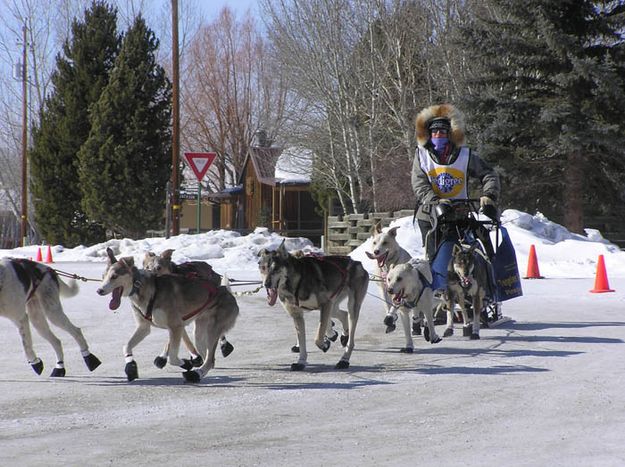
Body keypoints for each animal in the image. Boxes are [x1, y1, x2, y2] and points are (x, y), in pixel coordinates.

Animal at [97, 249, 239, 384]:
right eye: (103, 276)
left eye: (114, 276)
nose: (99, 290)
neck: (147, 289)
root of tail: (226, 291)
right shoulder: (144, 327)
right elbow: (126, 346)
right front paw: (131, 366)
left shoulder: (176, 326)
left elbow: (172, 357)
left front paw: (186, 363)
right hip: (199, 333)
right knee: (208, 357)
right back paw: (199, 370)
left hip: (212, 332)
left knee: (210, 360)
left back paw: (196, 373)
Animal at [258, 243, 368, 372]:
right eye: (263, 268)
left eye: (275, 269)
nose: (266, 284)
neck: (296, 281)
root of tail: (357, 262)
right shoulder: (298, 315)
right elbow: (303, 341)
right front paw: (301, 362)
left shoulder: (325, 304)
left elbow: (318, 336)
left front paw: (324, 344)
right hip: (333, 305)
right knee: (343, 314)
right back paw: (343, 335)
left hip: (351, 306)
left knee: (350, 338)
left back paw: (344, 360)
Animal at [366, 223, 424, 352]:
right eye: (374, 242)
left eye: (385, 242)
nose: (376, 251)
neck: (387, 266)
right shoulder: (383, 288)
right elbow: (387, 305)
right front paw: (390, 319)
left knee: (416, 311)